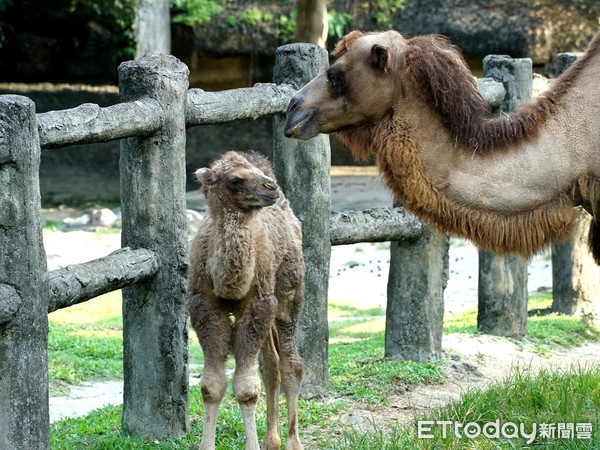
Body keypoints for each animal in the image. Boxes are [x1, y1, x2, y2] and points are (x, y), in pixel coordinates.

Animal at [188, 151, 304, 450]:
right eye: (235, 179)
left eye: (255, 173)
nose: (270, 187)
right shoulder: (204, 307)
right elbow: (211, 386)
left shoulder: (257, 305)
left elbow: (247, 389)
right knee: (270, 364)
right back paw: (271, 440)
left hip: (288, 294)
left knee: (291, 364)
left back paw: (293, 442)